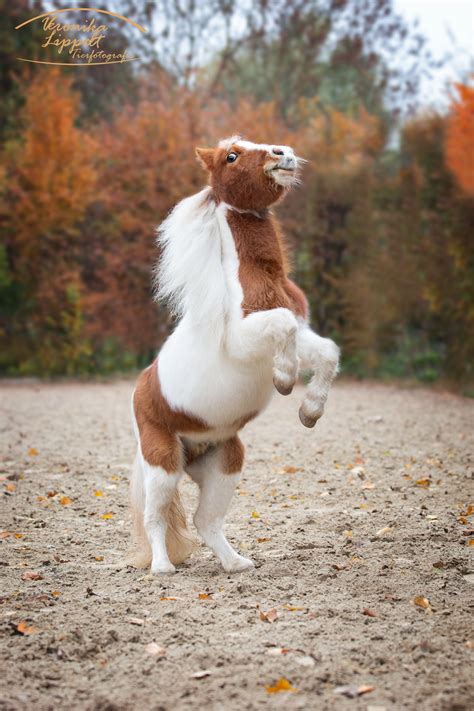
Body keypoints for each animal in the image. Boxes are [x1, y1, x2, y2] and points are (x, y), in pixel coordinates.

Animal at [130, 136, 338, 576]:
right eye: (231, 155)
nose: (283, 153)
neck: (256, 280)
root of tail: (141, 387)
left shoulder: (302, 334)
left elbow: (326, 351)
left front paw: (310, 411)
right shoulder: (244, 340)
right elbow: (283, 325)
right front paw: (284, 380)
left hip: (225, 462)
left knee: (205, 521)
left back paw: (237, 563)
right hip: (162, 464)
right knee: (156, 517)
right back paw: (162, 567)